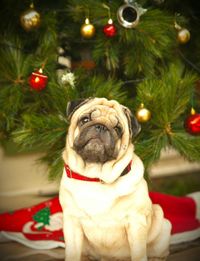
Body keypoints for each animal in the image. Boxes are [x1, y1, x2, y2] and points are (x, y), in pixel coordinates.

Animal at [58, 97, 171, 260]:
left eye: (118, 129)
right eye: (85, 119)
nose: (101, 126)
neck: (95, 177)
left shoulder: (136, 222)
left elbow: (138, 253)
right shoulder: (72, 222)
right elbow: (72, 253)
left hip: (163, 226)